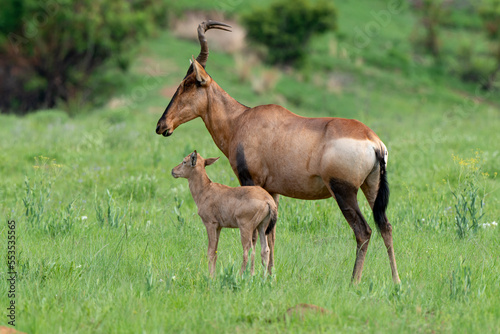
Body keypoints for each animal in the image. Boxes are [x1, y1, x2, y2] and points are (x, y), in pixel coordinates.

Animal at [156, 20, 402, 284]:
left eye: (187, 84)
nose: (162, 126)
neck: (241, 120)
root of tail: (374, 142)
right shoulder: (272, 190)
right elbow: (271, 234)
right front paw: (270, 275)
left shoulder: (250, 181)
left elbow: (255, 236)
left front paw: (253, 275)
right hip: (371, 186)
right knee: (385, 226)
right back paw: (396, 281)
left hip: (344, 191)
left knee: (363, 230)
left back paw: (354, 282)